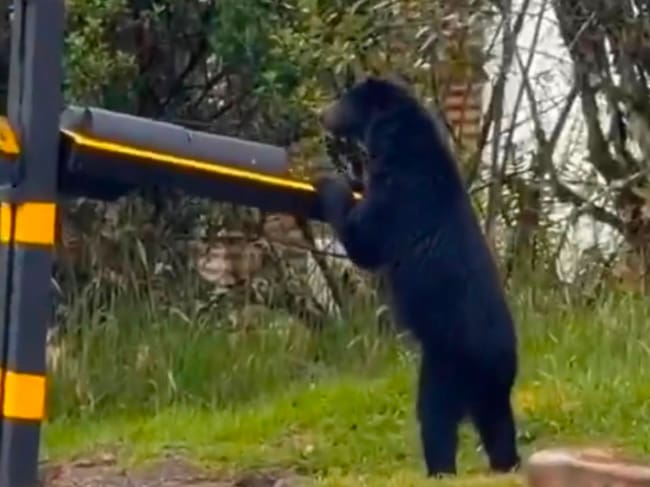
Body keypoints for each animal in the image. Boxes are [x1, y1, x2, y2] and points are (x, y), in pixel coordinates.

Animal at [313, 76, 521, 477]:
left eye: (344, 101)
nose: (322, 114)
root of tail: (502, 356)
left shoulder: (402, 195)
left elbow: (364, 239)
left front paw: (330, 182)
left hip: (446, 362)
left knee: (435, 416)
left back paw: (440, 468)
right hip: (488, 386)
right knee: (498, 424)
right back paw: (506, 464)